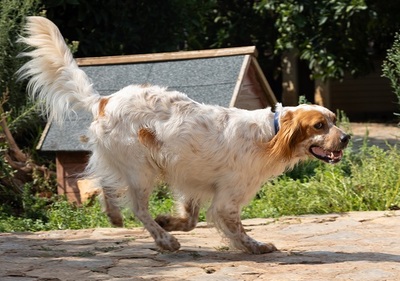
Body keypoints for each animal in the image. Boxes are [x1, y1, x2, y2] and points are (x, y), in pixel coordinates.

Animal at [19, 17, 350, 254]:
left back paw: (116, 217)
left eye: (334, 120)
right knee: (137, 208)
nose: (346, 137)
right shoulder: (227, 200)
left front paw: (170, 220)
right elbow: (236, 228)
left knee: (103, 185)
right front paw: (255, 246)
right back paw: (164, 241)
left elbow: (190, 220)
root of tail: (104, 101)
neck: (271, 134)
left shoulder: (193, 182)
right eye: (319, 126)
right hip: (141, 170)